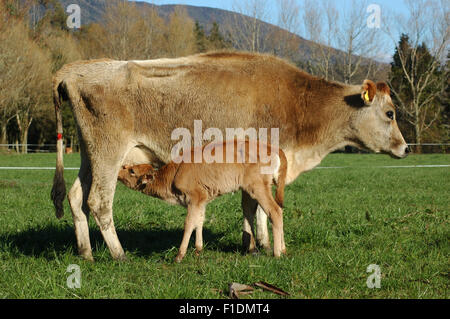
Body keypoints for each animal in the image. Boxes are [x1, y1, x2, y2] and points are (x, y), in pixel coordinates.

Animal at [50, 53, 408, 262]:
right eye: (390, 113)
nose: (405, 148)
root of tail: (78, 68)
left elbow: (252, 206)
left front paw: (254, 243)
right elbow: (258, 207)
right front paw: (262, 244)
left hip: (91, 155)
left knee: (76, 197)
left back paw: (86, 253)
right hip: (109, 153)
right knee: (98, 201)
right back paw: (119, 254)